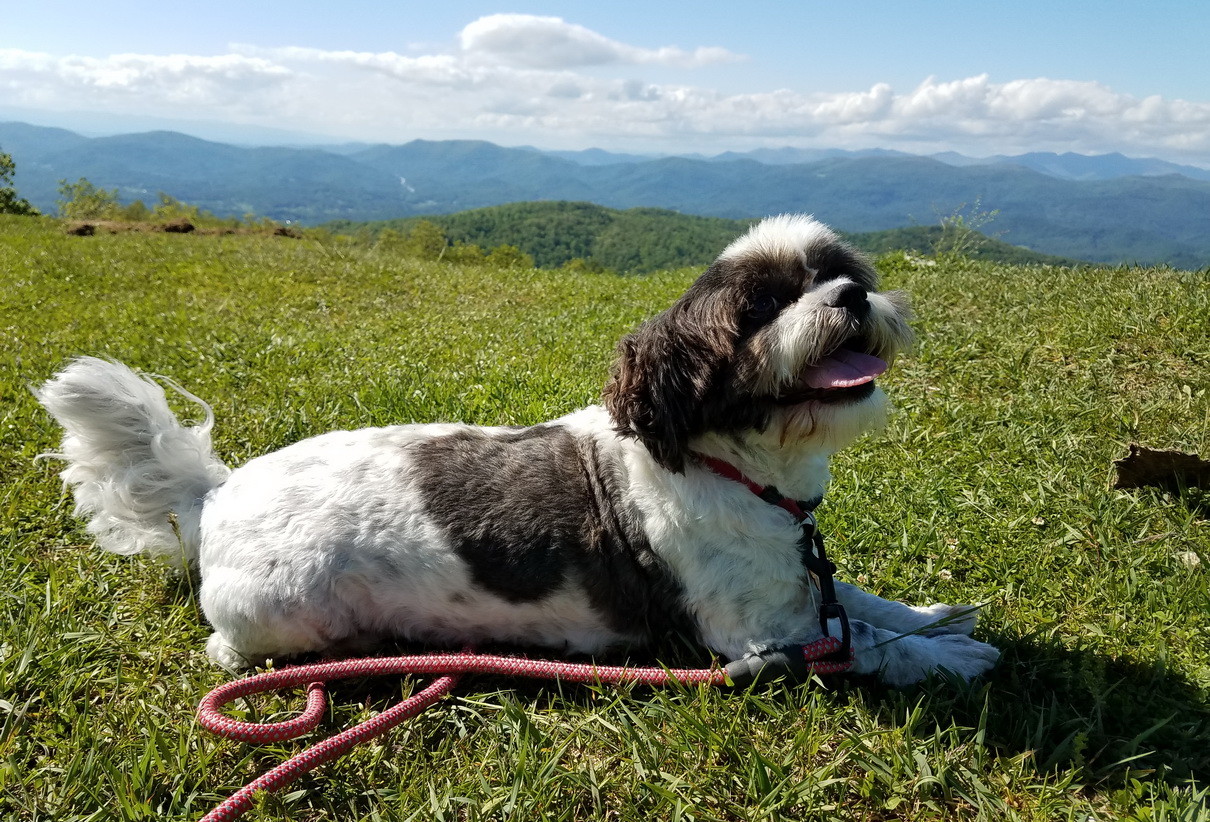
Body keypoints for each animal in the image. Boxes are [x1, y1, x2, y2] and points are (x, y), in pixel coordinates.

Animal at [40, 215, 1001, 682]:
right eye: (762, 307)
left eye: (842, 272)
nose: (848, 298)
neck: (738, 466)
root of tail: (218, 493)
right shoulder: (758, 634)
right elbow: (866, 645)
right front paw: (946, 658)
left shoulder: (799, 581)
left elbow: (865, 605)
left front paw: (933, 616)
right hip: (277, 615)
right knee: (232, 651)